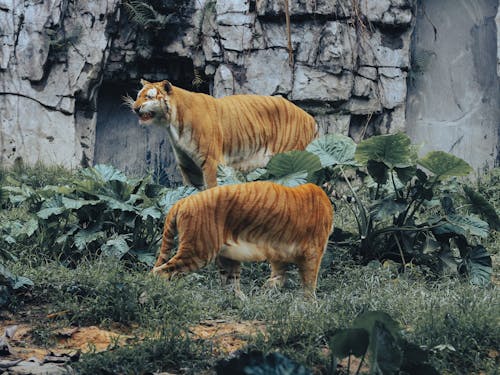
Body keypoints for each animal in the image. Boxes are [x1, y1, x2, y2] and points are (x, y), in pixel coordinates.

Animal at [128, 80, 316, 189]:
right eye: (138, 96)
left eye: (148, 97)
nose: (135, 108)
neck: (173, 125)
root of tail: (310, 118)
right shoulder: (188, 166)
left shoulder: (211, 162)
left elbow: (211, 190)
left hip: (294, 160)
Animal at [151, 182, 332, 300]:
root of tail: (182, 200)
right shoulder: (313, 252)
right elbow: (310, 282)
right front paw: (310, 306)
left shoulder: (278, 256)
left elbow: (281, 277)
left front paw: (267, 289)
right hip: (198, 251)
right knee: (159, 272)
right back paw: (160, 295)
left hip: (227, 257)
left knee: (230, 285)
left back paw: (243, 302)